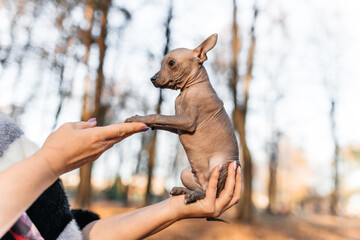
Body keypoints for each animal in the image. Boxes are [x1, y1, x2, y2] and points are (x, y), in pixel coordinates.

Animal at [125, 34, 240, 204]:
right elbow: (161, 121)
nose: (152, 78)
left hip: (220, 167)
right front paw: (144, 121)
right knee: (203, 188)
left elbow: (158, 115)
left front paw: (136, 118)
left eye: (171, 63)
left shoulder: (188, 121)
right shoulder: (178, 124)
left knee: (212, 193)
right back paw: (183, 190)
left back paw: (194, 195)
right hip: (186, 173)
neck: (188, 89)